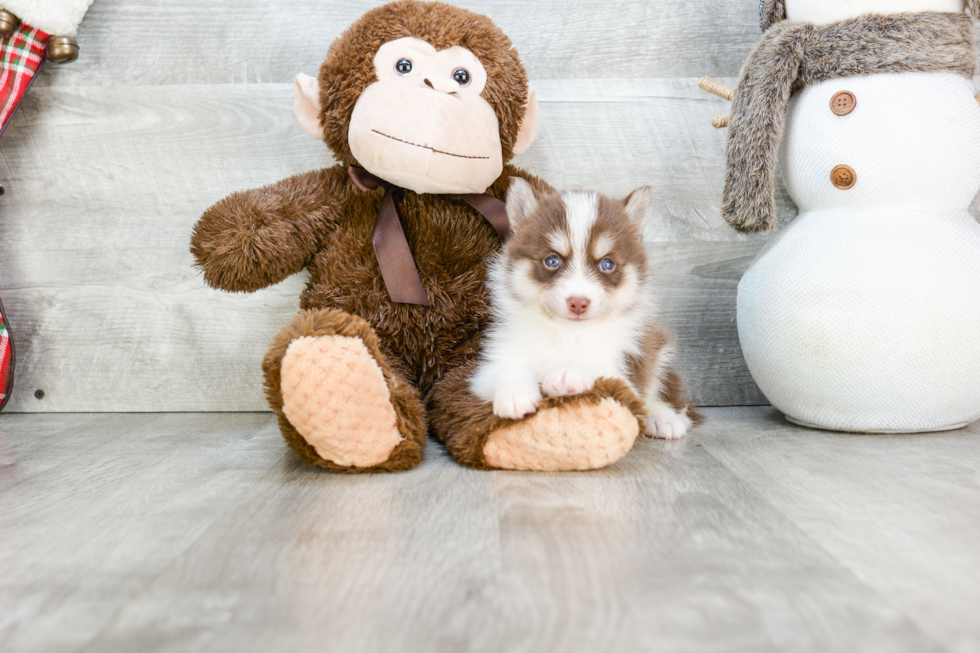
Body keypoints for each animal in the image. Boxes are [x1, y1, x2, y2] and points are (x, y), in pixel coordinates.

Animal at [468, 177, 692, 438]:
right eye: (552, 261)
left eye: (607, 264)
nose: (578, 302)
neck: (567, 333)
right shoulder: (488, 367)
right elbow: (508, 369)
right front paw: (515, 393)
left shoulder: (624, 373)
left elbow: (601, 371)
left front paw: (570, 374)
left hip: (657, 349)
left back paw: (664, 418)